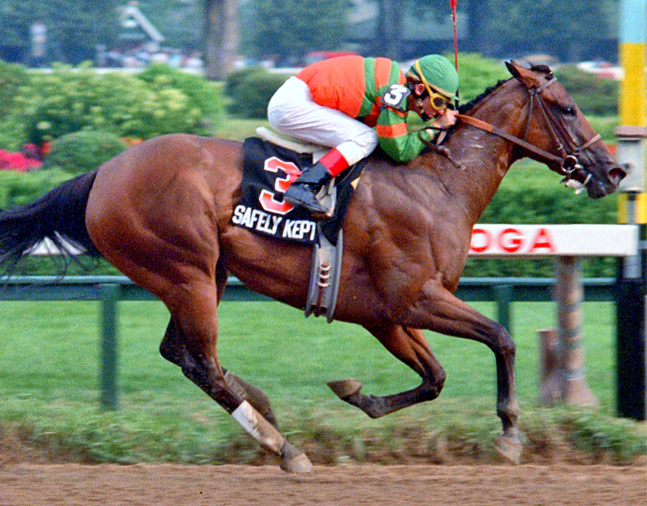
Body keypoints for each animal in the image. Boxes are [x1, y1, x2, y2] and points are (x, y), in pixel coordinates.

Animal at [0, 62, 624, 470]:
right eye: (567, 107)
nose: (613, 171)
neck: (436, 184)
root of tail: (104, 172)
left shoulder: (384, 314)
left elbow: (435, 377)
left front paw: (356, 394)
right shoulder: (414, 298)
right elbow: (501, 337)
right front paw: (511, 433)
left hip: (204, 275)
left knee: (185, 355)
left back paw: (265, 408)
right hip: (185, 270)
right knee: (201, 363)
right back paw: (282, 446)